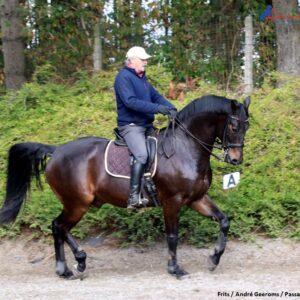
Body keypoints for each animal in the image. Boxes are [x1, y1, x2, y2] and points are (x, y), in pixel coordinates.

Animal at [0, 94, 250, 278]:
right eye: (234, 125)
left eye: (246, 126)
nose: (235, 160)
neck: (185, 148)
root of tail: (57, 151)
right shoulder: (173, 201)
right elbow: (172, 235)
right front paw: (175, 269)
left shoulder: (197, 199)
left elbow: (224, 221)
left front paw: (214, 258)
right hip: (77, 203)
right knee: (58, 226)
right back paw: (64, 269)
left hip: (81, 204)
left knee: (61, 228)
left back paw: (79, 262)